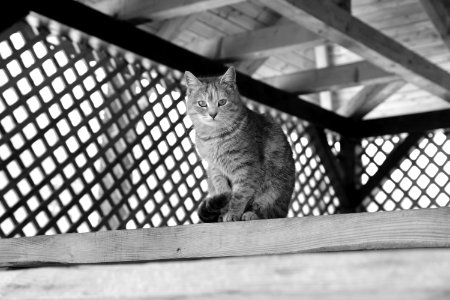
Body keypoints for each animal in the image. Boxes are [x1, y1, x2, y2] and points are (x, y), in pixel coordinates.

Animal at [183, 67, 296, 221]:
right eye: (202, 103)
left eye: (222, 102)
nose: (212, 114)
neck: (214, 137)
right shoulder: (215, 168)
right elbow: (223, 189)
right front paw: (225, 209)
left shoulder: (246, 167)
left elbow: (239, 196)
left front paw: (232, 214)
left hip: (274, 190)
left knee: (268, 212)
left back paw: (251, 214)